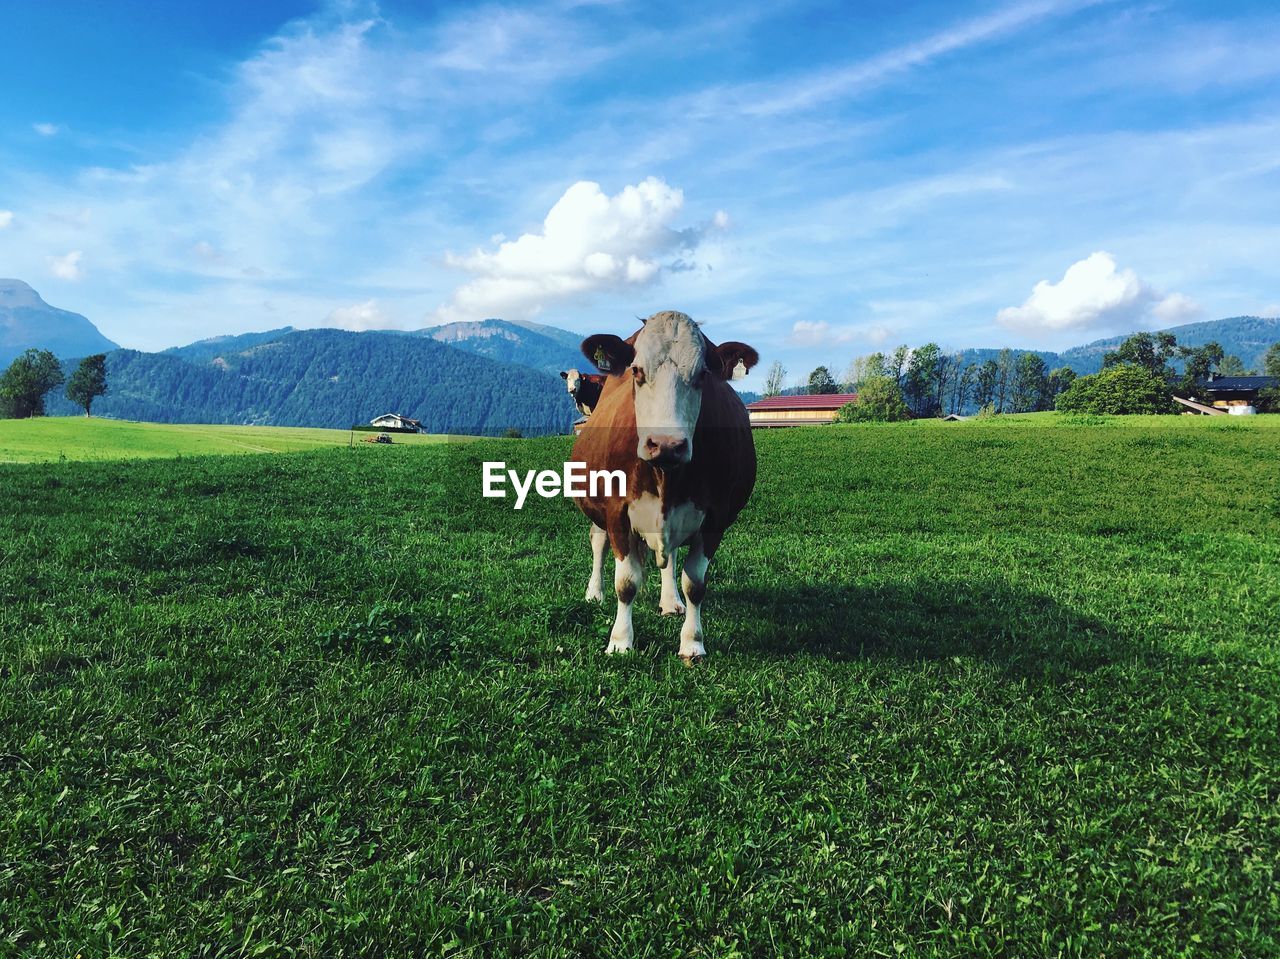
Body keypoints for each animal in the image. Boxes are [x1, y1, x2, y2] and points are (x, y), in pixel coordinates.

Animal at [573, 308, 757, 660]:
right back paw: (593, 592)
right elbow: (626, 583)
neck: (665, 475)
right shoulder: (616, 512)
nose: (667, 445)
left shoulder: (716, 517)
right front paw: (620, 640)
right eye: (637, 371)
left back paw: (671, 602)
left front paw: (693, 642)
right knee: (598, 542)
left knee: (668, 558)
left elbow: (695, 584)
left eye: (702, 375)